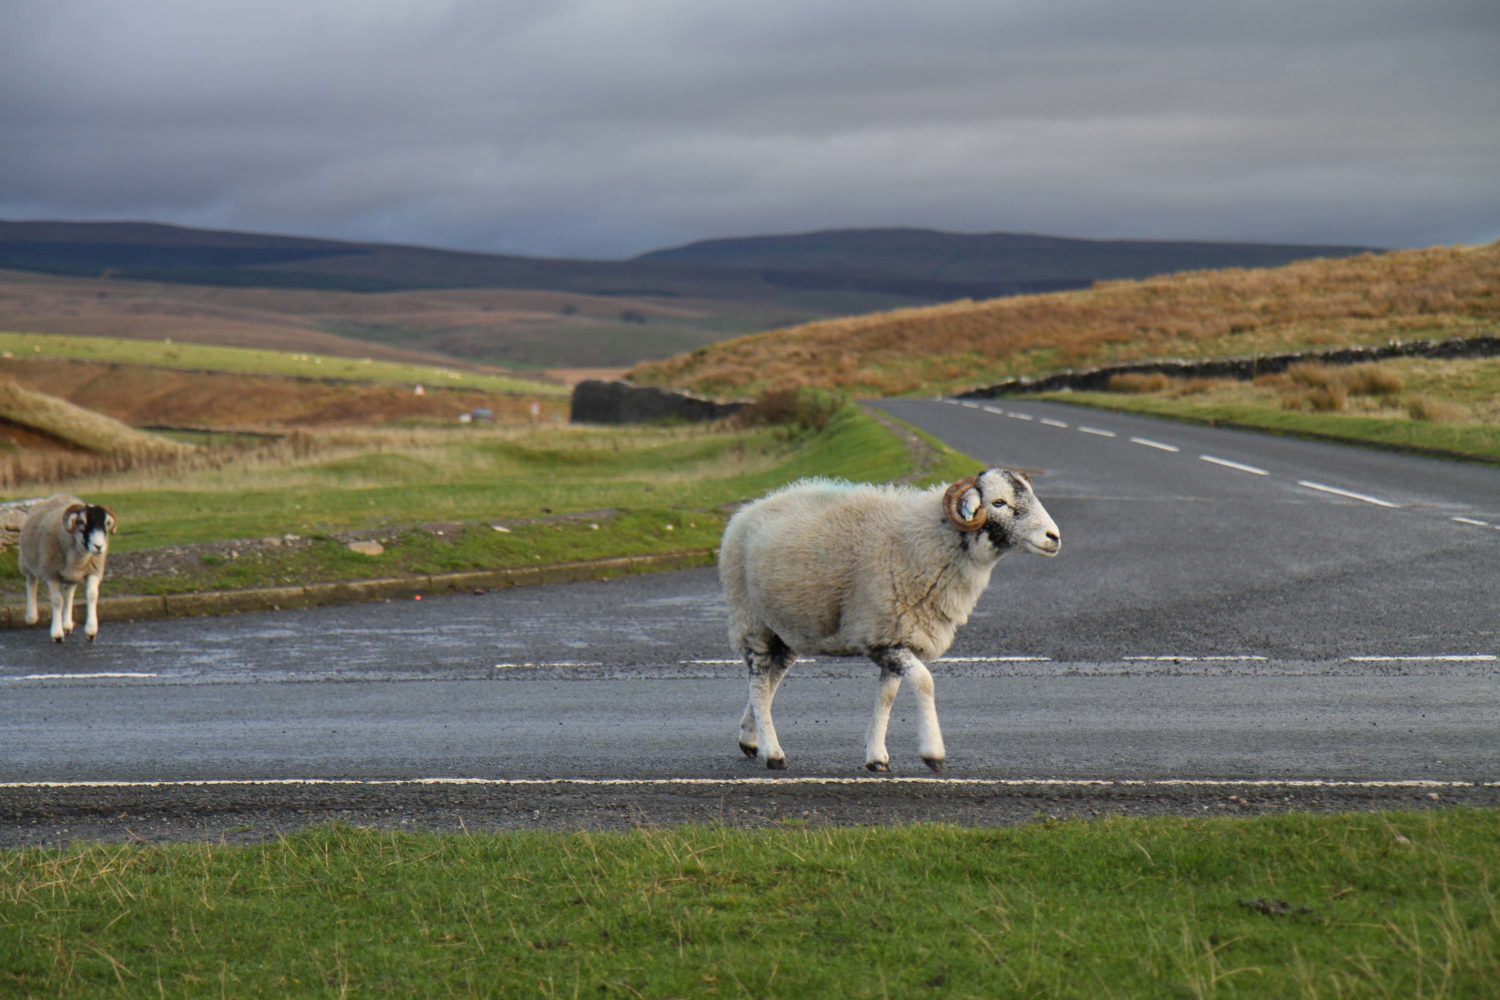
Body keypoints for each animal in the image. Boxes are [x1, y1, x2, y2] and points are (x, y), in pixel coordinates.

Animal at [19, 497, 117, 644]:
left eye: (106, 523)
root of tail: (57, 496)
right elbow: (57, 600)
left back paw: (66, 624)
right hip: (28, 561)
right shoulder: (51, 574)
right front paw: (57, 634)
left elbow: (92, 595)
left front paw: (91, 630)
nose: (98, 546)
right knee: (31, 582)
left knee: (69, 594)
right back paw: (31, 616)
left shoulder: (93, 571)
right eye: (82, 522)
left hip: (71, 576)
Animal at [720, 470, 1062, 773]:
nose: (1054, 538)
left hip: (787, 627)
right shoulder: (880, 635)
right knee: (758, 681)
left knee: (772, 677)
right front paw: (933, 753)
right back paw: (772, 752)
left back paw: (750, 738)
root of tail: (749, 510)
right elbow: (924, 681)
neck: (931, 540)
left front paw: (876, 758)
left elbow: (887, 697)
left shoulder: (898, 634)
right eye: (999, 502)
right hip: (751, 620)